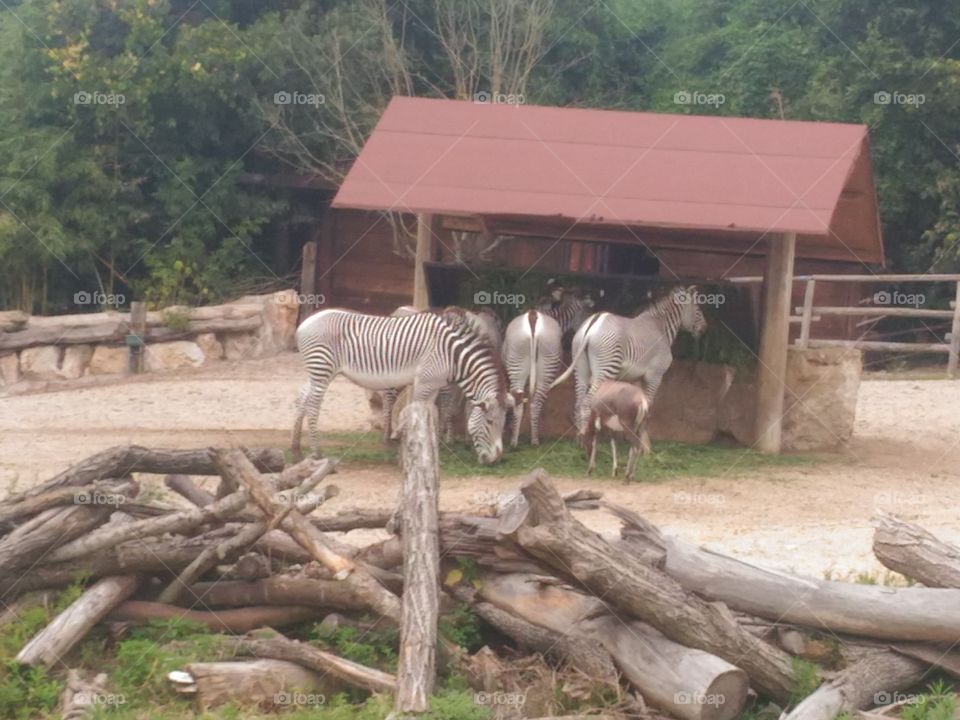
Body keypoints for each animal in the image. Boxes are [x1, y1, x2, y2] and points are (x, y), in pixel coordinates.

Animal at [292, 307, 510, 464]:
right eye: (490, 422)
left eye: (503, 424)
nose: (496, 460)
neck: (453, 353)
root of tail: (304, 325)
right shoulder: (424, 381)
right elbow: (417, 413)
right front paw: (411, 447)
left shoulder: (434, 385)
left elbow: (431, 414)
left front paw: (431, 449)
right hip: (322, 369)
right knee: (313, 405)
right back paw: (317, 453)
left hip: (317, 372)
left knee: (301, 399)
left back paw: (297, 450)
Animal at [502, 309, 563, 447]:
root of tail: (533, 314)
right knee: (534, 403)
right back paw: (532, 440)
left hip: (519, 362)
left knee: (521, 404)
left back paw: (516, 441)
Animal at [550, 285, 707, 447]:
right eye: (698, 309)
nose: (705, 328)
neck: (660, 329)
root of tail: (593, 324)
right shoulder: (655, 375)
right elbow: (648, 406)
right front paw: (643, 442)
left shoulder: (637, 377)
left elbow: (637, 405)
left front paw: (630, 435)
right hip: (605, 370)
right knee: (587, 402)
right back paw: (587, 438)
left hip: (581, 368)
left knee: (579, 401)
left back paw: (579, 440)